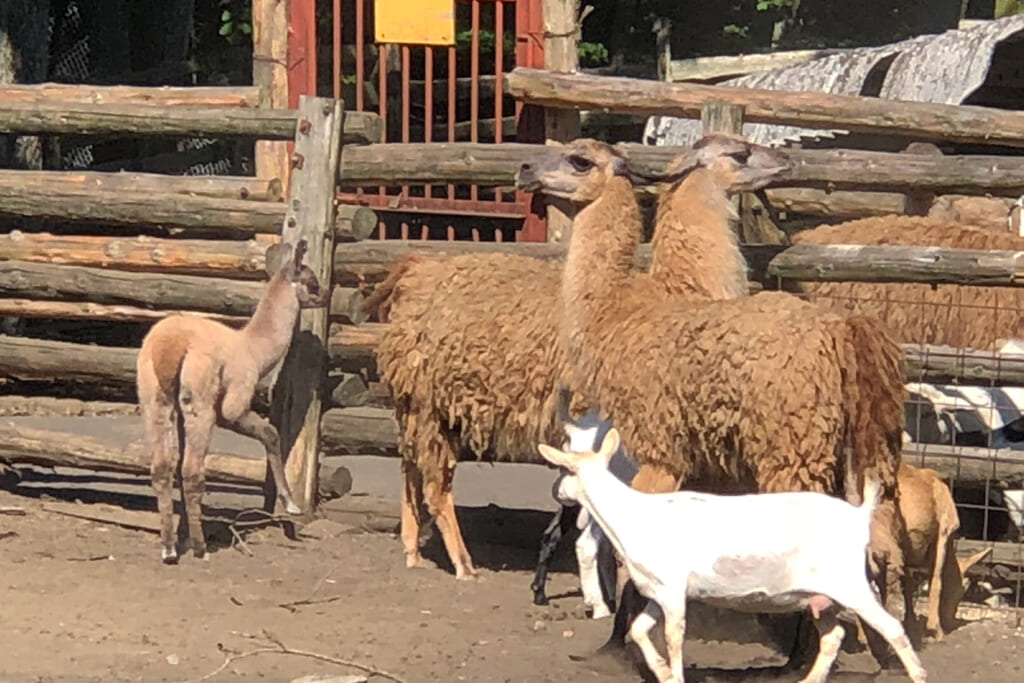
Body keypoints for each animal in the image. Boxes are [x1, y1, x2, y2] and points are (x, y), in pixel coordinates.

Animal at [540, 430, 933, 679]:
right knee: (833, 635)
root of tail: (859, 514)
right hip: (820, 594)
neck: (632, 514)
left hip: (851, 584)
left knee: (893, 628)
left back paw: (918, 674)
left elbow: (674, 637)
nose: (557, 492)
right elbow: (638, 630)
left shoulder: (672, 590)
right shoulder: (659, 590)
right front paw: (663, 672)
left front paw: (674, 674)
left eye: (565, 468)